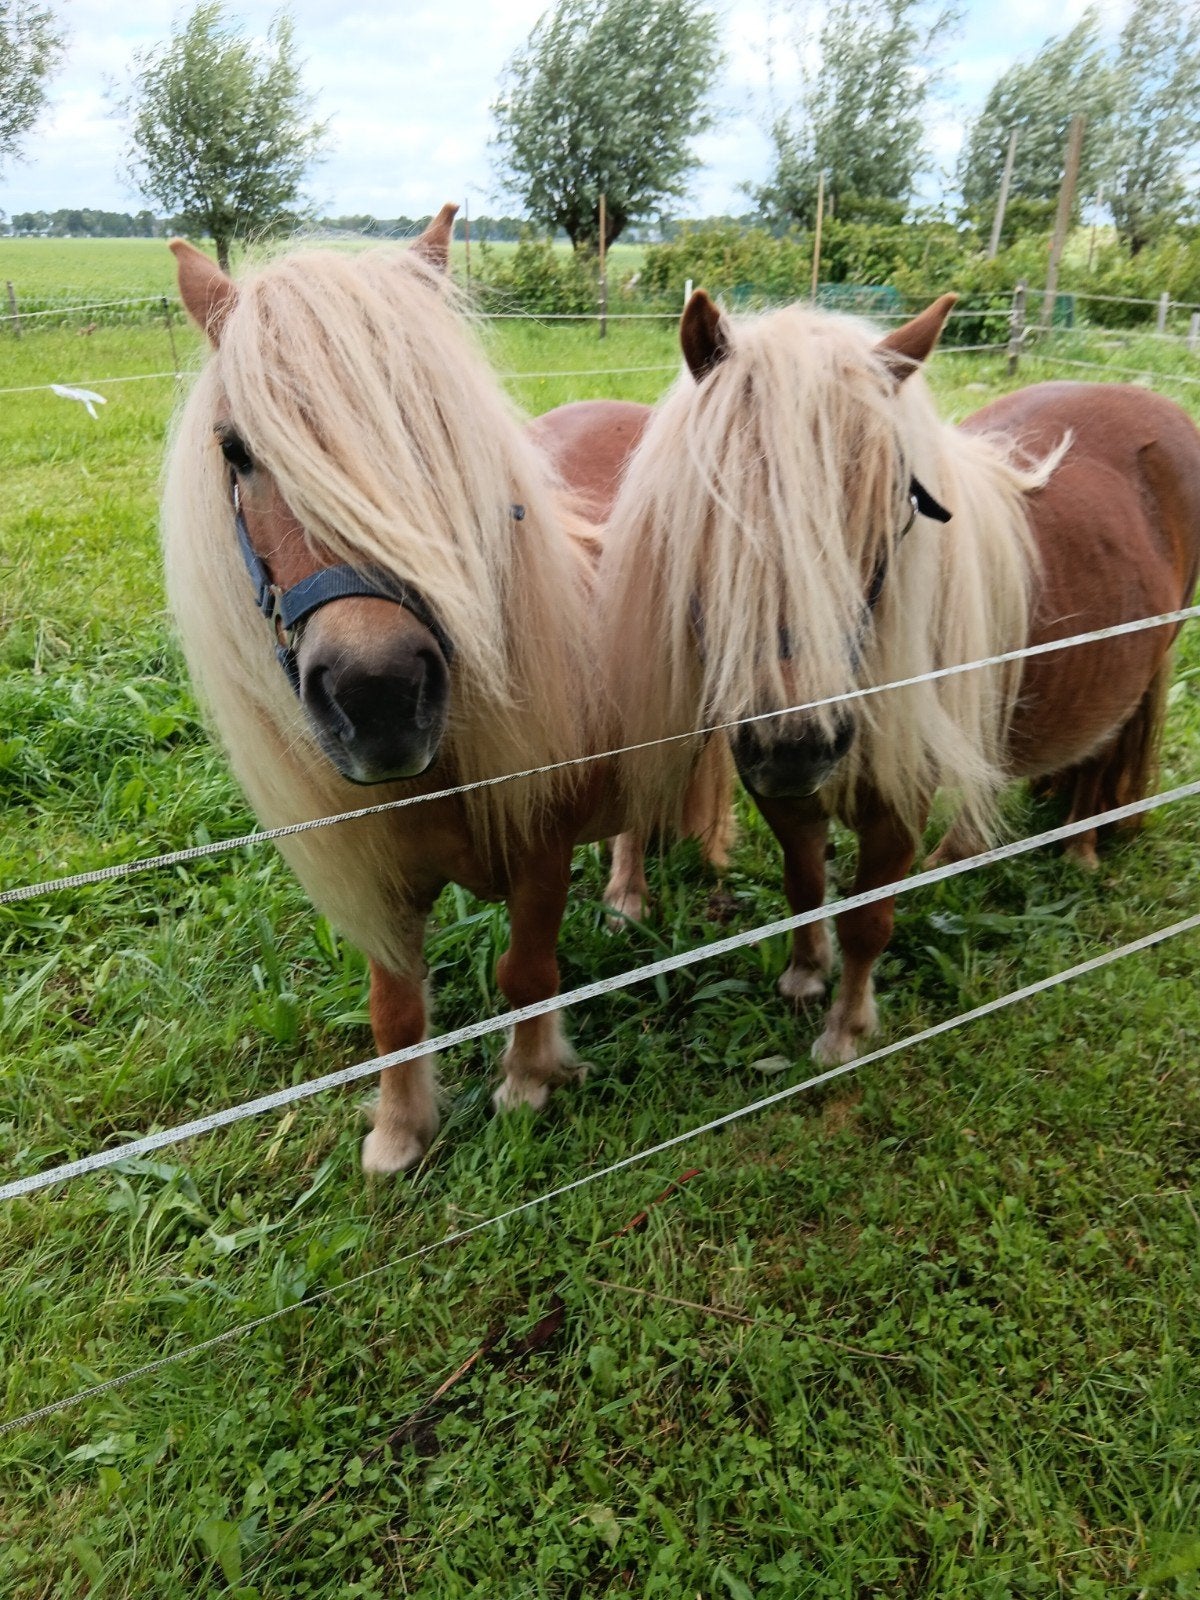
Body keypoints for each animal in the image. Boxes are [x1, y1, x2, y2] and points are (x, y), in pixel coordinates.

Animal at [162, 207, 732, 1175]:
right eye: (236, 450)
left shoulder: (541, 850)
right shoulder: (380, 881)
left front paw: (529, 1084)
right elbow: (394, 1012)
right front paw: (400, 1133)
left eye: (432, 424)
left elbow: (527, 974)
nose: (379, 697)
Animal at [600, 289, 1200, 1066]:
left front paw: (846, 1031)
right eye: (712, 508)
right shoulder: (779, 790)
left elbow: (868, 921)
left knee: (1103, 755)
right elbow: (805, 883)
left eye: (896, 510)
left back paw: (1079, 849)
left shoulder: (898, 801)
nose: (798, 742)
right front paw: (804, 976)